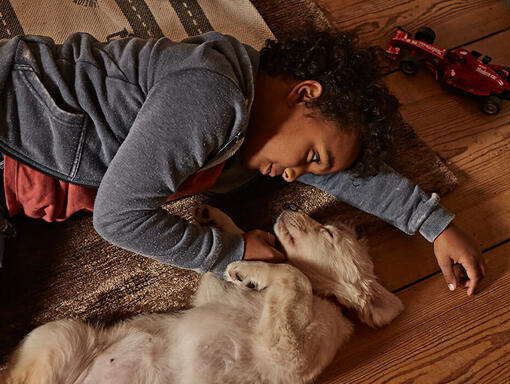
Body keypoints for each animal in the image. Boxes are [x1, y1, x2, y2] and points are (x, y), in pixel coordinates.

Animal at [2, 206, 402, 382]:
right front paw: (223, 224)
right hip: (60, 334)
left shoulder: (290, 354)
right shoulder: (214, 294)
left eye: (329, 233)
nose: (291, 206)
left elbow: (295, 276)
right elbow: (222, 262)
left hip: (61, 334)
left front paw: (250, 269)